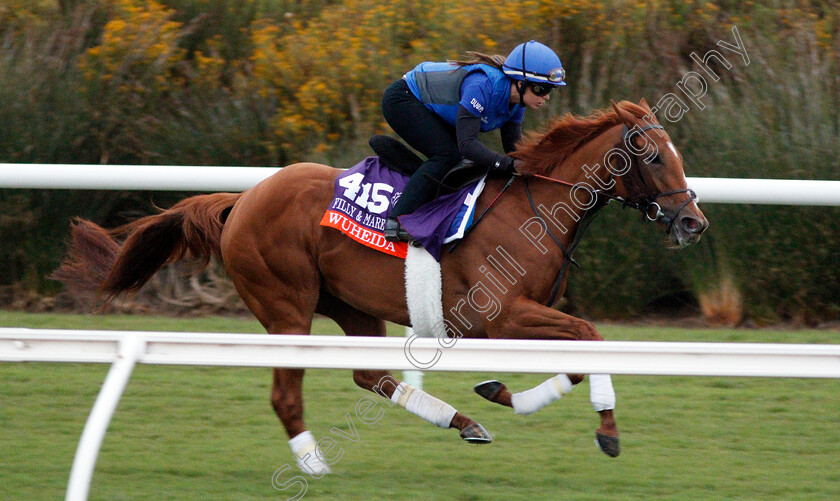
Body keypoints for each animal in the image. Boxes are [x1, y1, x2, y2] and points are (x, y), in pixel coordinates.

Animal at [54, 98, 708, 472]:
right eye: (652, 155)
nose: (692, 222)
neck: (540, 205)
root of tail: (243, 200)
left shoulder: (526, 318)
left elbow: (576, 357)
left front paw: (502, 393)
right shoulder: (502, 314)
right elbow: (593, 337)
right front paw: (607, 432)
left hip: (350, 305)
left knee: (369, 374)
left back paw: (463, 423)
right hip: (287, 306)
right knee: (286, 393)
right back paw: (313, 463)